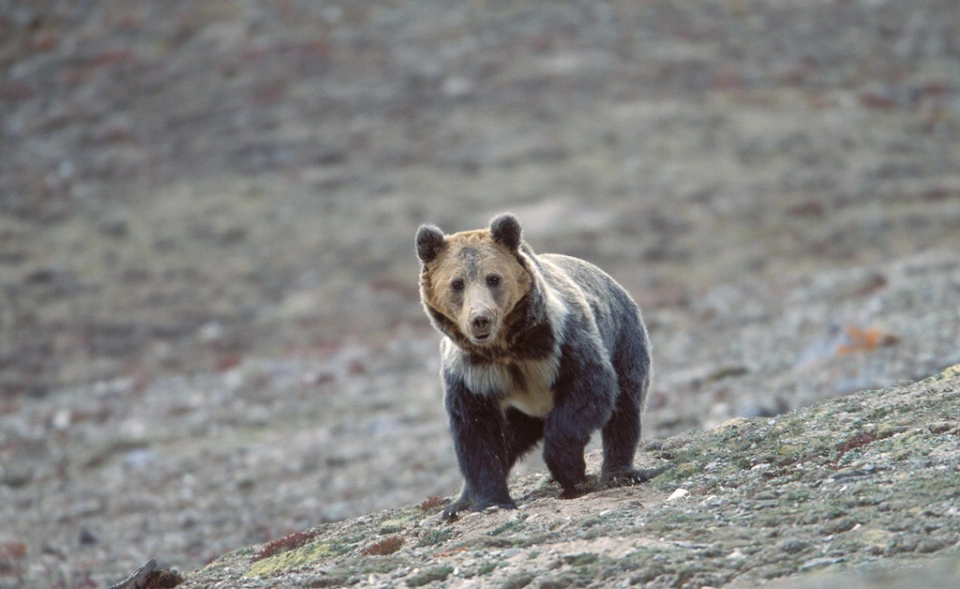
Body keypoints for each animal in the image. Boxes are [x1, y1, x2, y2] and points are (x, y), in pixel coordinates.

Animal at [416, 212, 652, 519]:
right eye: (457, 283)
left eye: (493, 278)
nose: (480, 319)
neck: (506, 348)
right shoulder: (470, 374)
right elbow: (477, 434)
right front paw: (491, 500)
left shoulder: (560, 342)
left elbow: (590, 388)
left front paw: (570, 470)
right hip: (520, 413)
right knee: (509, 440)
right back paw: (458, 503)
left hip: (624, 338)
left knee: (625, 407)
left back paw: (620, 473)